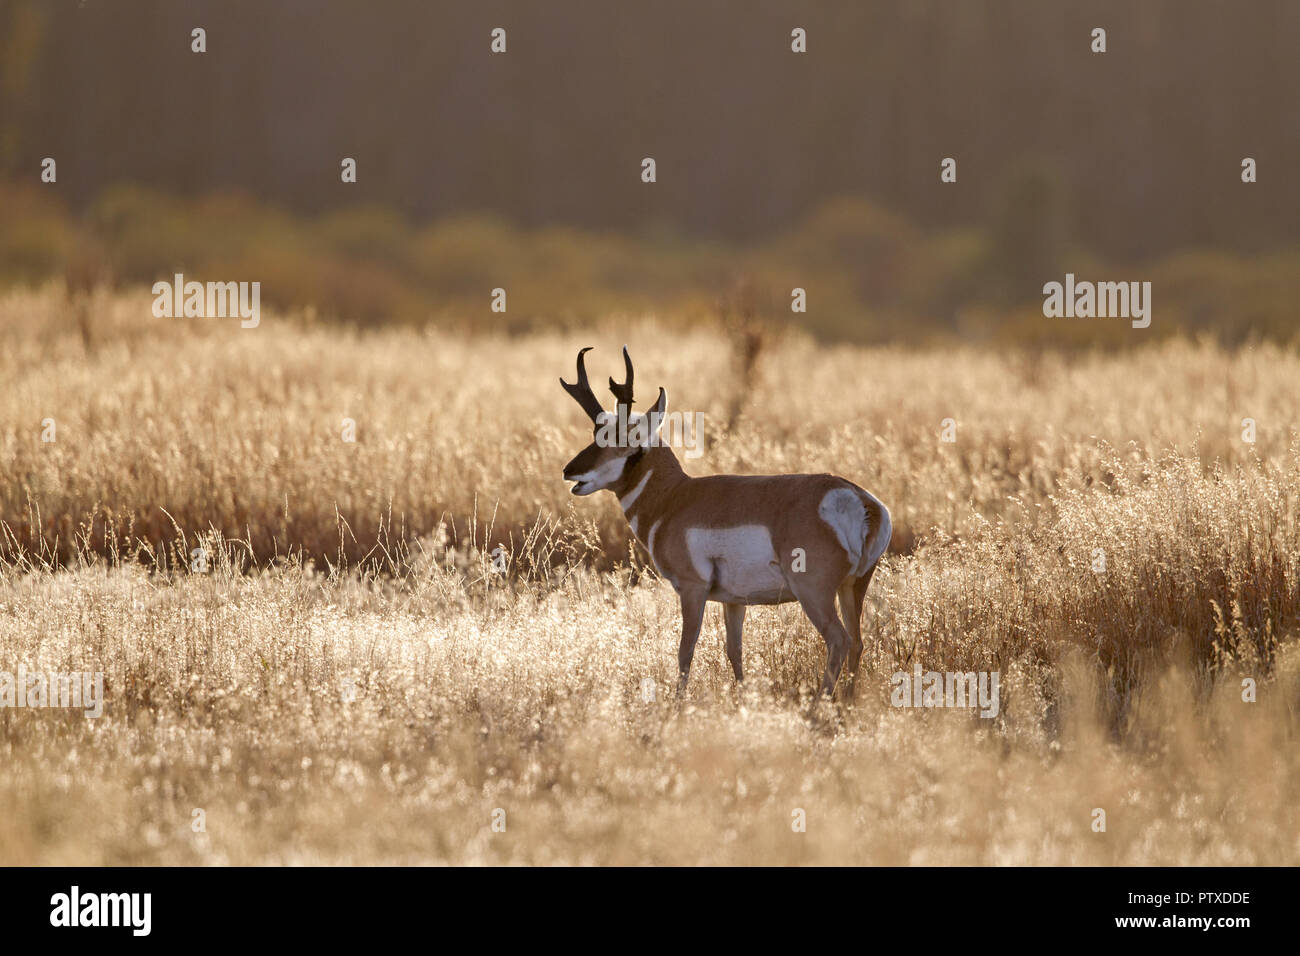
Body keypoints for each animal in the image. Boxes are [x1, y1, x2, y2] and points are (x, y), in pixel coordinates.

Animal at [564, 348, 889, 697]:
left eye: (621, 437)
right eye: (595, 433)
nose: (569, 471)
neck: (675, 497)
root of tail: (858, 499)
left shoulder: (692, 589)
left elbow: (685, 650)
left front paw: (679, 704)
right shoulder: (734, 601)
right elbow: (734, 650)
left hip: (813, 591)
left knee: (839, 640)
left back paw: (818, 705)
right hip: (853, 586)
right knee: (857, 643)